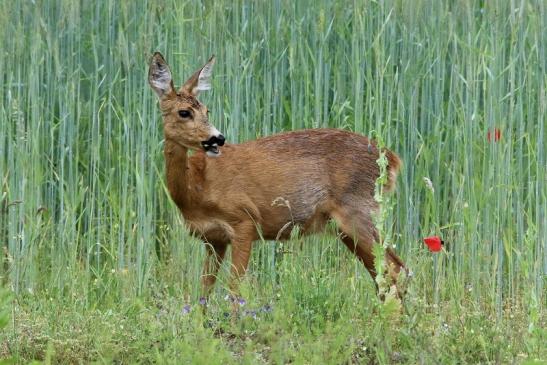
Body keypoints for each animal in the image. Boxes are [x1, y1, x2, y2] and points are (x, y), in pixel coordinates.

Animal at [149, 52, 406, 302]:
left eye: (206, 111)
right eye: (184, 112)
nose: (217, 138)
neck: (196, 188)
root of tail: (392, 159)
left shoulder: (245, 220)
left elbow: (234, 291)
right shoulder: (213, 239)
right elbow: (204, 293)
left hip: (358, 211)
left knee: (396, 269)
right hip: (346, 226)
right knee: (383, 275)